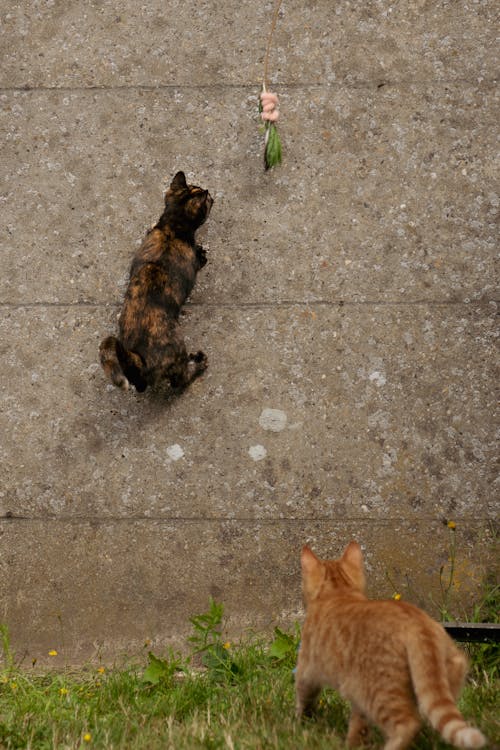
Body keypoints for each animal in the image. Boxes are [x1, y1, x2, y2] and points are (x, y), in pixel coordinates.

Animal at [99, 171, 213, 394]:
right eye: (207, 199)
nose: (212, 195)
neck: (171, 227)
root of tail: (138, 358)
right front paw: (201, 252)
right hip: (177, 349)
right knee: (180, 380)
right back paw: (198, 363)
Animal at [294, 544, 486, 750]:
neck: (338, 593)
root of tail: (417, 623)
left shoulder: (307, 669)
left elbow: (303, 696)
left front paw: (300, 722)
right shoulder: (358, 702)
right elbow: (358, 726)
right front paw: (353, 744)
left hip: (379, 693)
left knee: (408, 724)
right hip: (444, 678)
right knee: (432, 721)